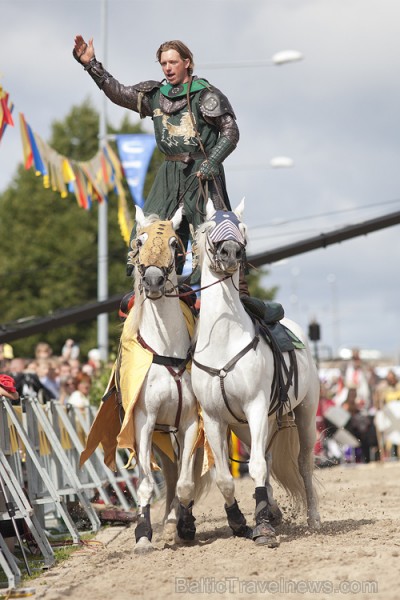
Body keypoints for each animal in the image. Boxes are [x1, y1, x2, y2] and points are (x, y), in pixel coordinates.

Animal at [191, 199, 322, 548]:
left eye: (243, 228)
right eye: (209, 227)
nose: (230, 252)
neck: (223, 341)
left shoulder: (256, 407)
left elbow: (260, 469)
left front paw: (262, 527)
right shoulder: (215, 419)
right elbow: (225, 477)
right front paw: (240, 523)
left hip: (304, 412)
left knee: (303, 463)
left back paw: (313, 518)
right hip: (247, 427)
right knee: (266, 457)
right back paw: (274, 511)